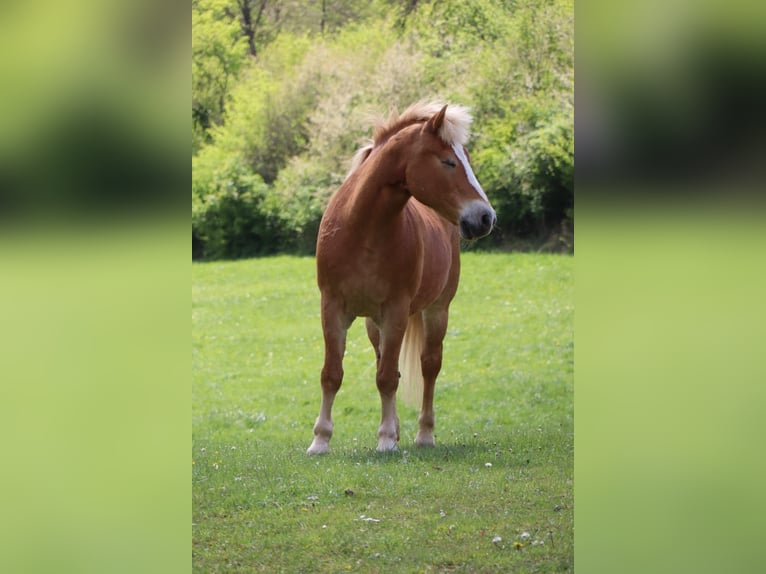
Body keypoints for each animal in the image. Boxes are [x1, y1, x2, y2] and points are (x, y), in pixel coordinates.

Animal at [308, 101, 498, 456]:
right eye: (448, 161)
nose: (485, 218)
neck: (362, 229)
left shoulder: (396, 310)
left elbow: (386, 378)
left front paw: (385, 440)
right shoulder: (333, 308)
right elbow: (332, 373)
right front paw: (320, 440)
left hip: (436, 312)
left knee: (429, 367)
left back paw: (424, 434)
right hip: (374, 324)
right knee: (386, 362)